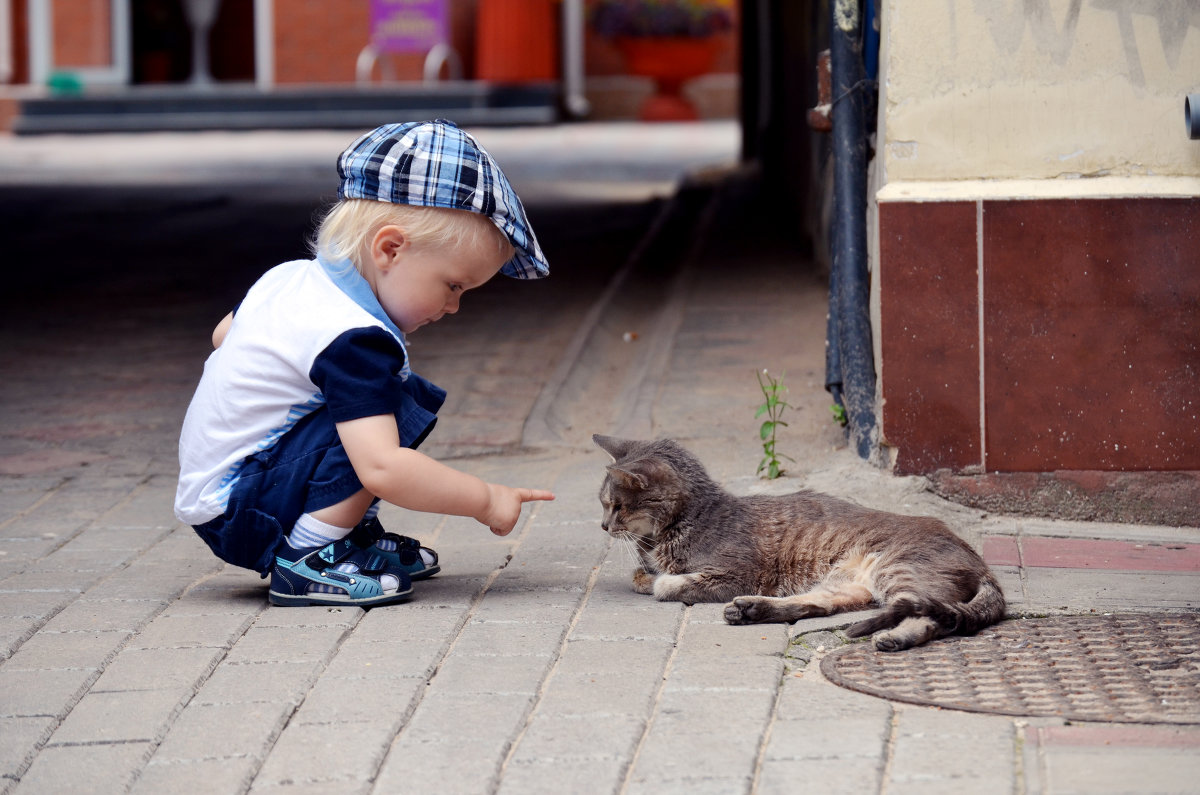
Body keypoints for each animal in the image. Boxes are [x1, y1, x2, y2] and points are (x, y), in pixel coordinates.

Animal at [595, 437, 1008, 653]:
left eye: (615, 506)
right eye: (603, 503)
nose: (602, 526)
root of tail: (983, 565)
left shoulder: (735, 574)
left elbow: (667, 583)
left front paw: (662, 580)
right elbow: (642, 575)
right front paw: (649, 574)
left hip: (897, 570)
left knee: (928, 617)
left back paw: (894, 637)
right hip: (845, 583)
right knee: (819, 605)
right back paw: (750, 611)